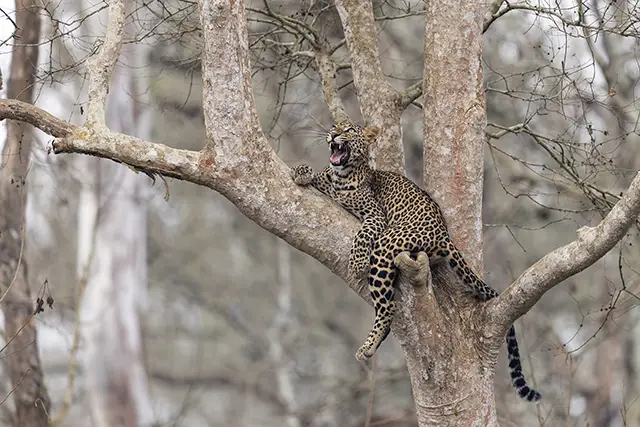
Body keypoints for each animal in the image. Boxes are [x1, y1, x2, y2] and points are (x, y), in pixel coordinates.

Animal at [290, 121, 541, 402]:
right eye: (335, 126)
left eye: (350, 130)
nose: (333, 134)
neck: (341, 176)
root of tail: (443, 233)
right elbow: (315, 174)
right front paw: (300, 171)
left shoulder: (375, 216)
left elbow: (363, 233)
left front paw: (356, 261)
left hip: (387, 243)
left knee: (387, 306)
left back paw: (368, 345)